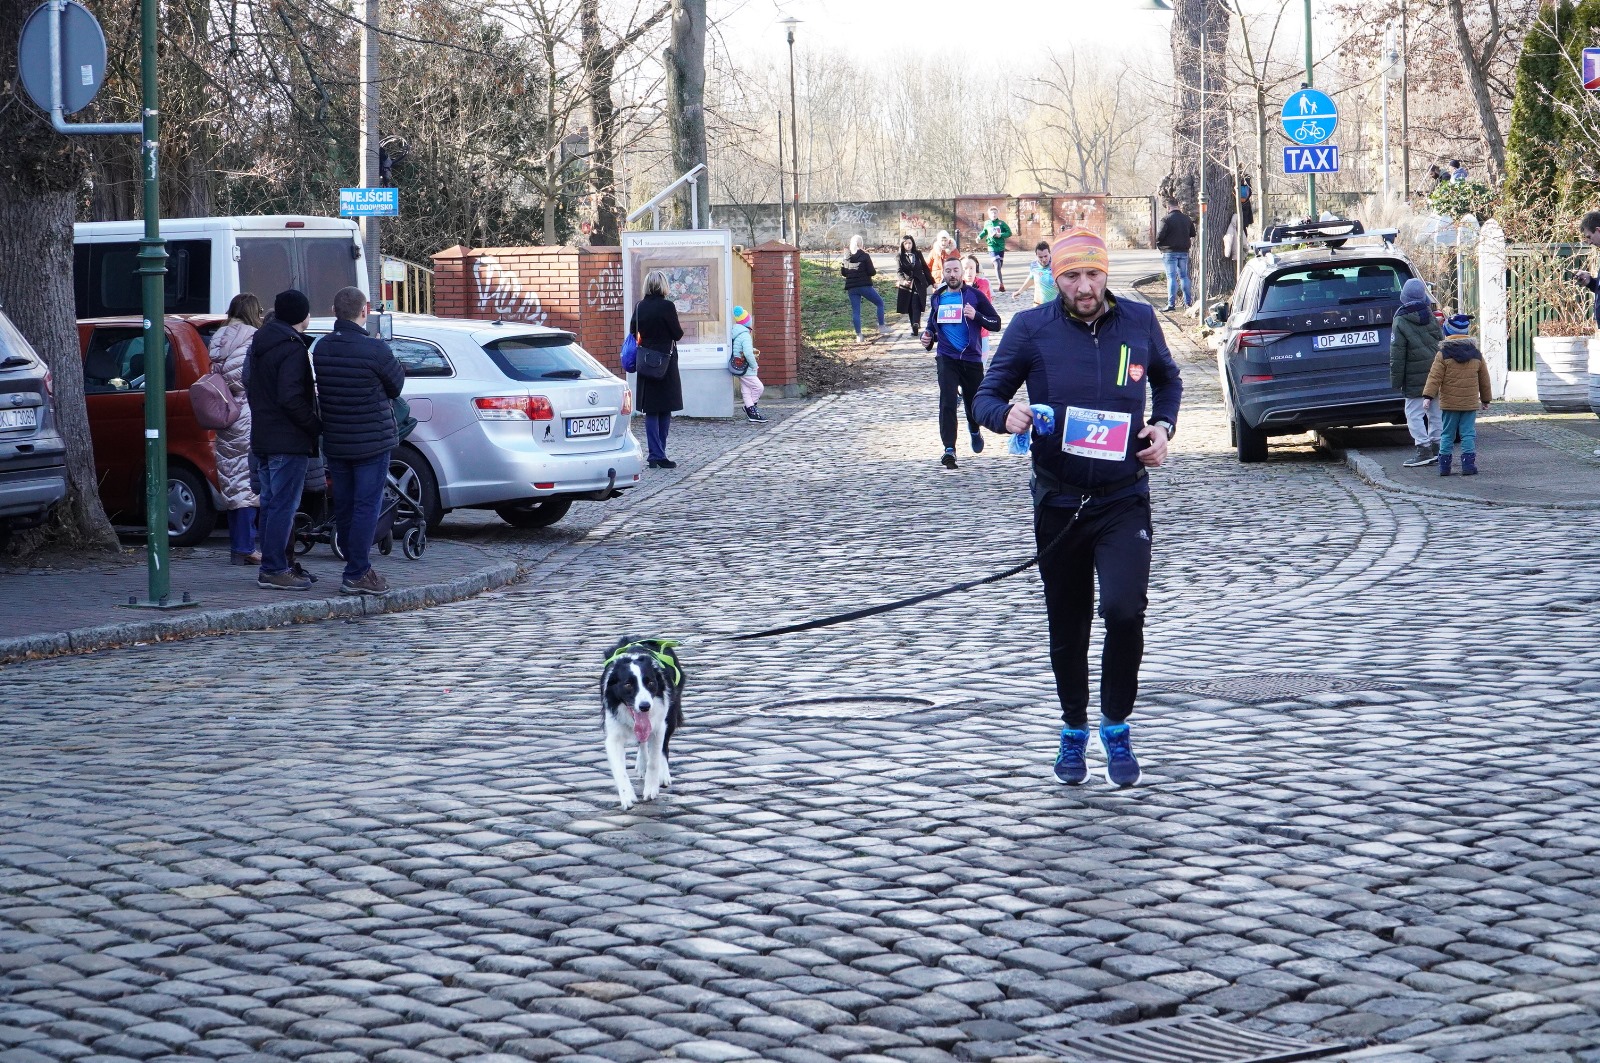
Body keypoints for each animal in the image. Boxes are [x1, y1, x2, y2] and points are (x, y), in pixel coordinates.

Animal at [600, 636, 685, 810]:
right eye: (628, 685)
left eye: (650, 683)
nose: (645, 706)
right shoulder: (613, 736)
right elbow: (619, 769)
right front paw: (627, 796)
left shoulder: (659, 726)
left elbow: (655, 759)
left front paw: (651, 789)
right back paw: (641, 763)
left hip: (671, 714)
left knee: (663, 747)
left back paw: (663, 774)